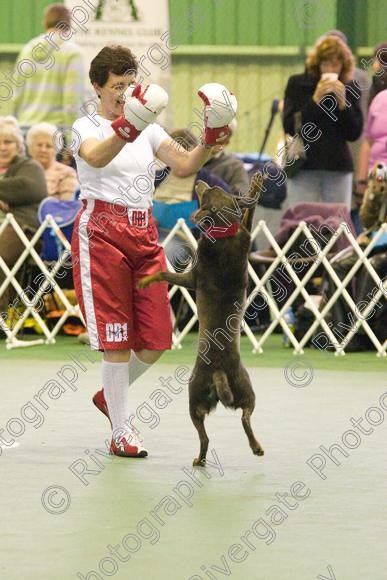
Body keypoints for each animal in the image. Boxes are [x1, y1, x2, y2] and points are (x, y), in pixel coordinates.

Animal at [138, 172, 266, 466]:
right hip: (245, 388)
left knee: (205, 436)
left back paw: (199, 459)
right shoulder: (244, 234)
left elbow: (163, 274)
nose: (199, 182)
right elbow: (249, 212)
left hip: (193, 397)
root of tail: (218, 370)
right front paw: (256, 184)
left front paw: (145, 280)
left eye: (207, 192)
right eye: (215, 189)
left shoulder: (190, 278)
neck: (224, 233)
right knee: (245, 416)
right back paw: (255, 447)